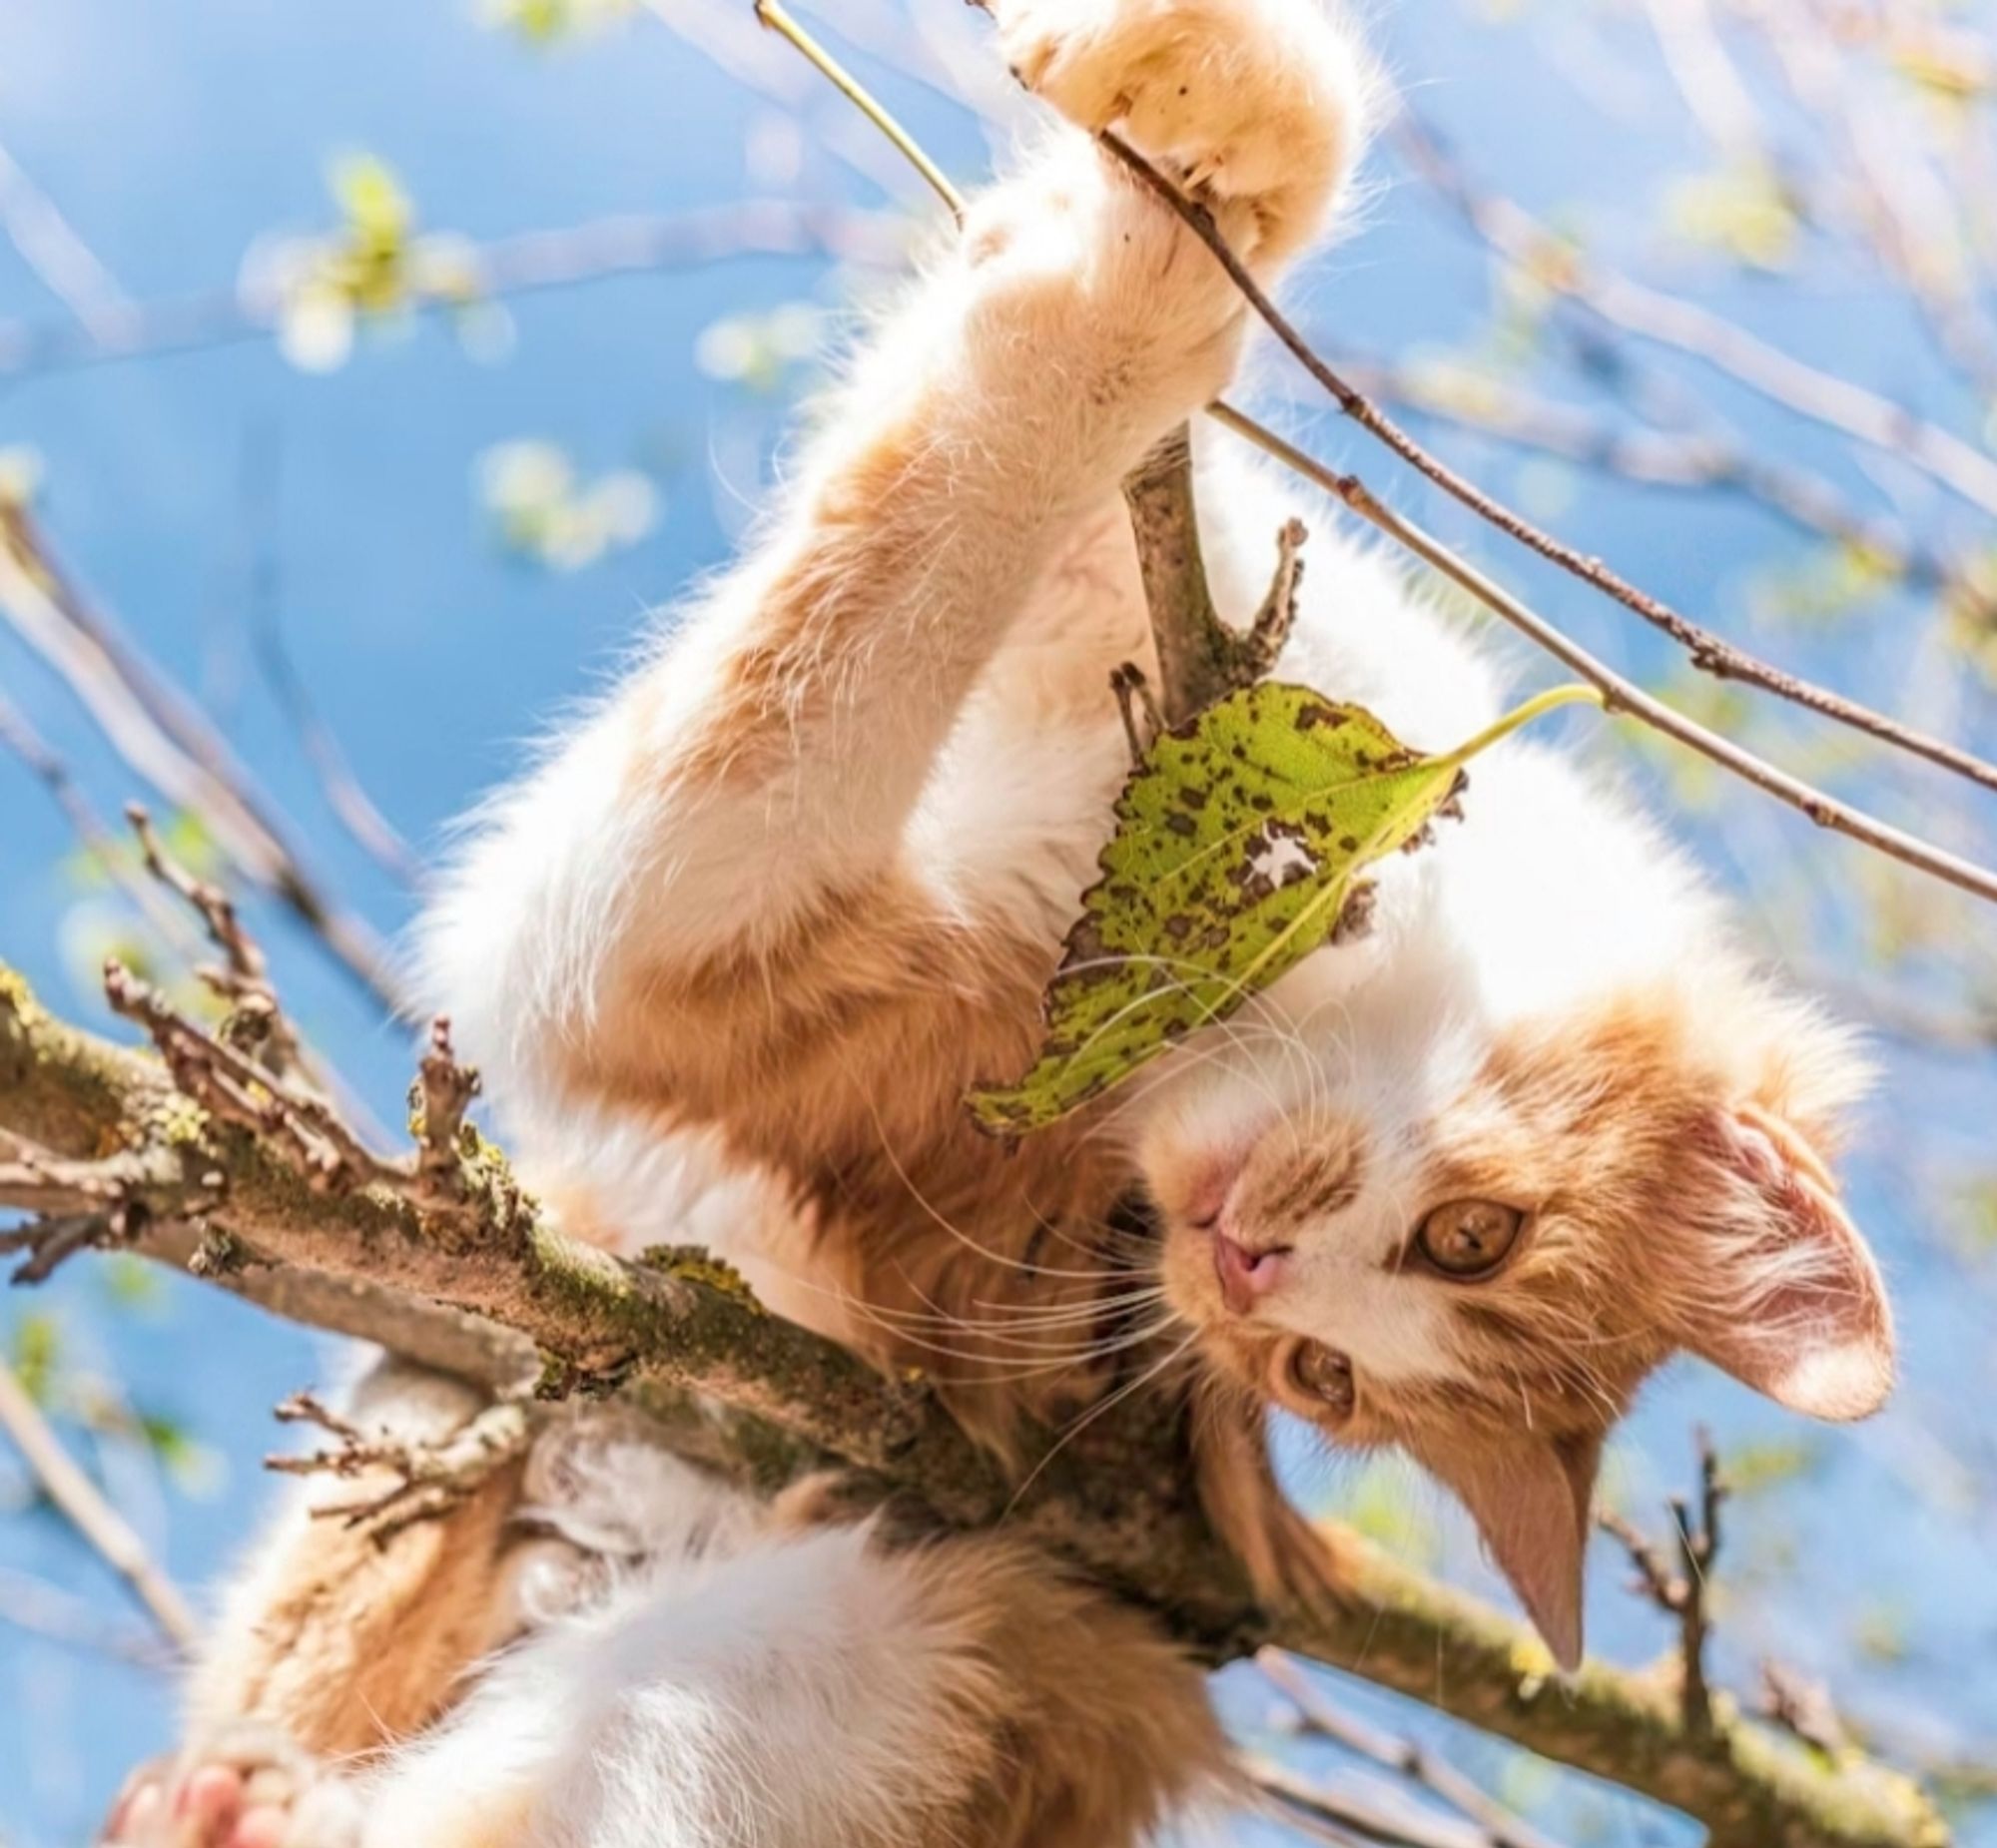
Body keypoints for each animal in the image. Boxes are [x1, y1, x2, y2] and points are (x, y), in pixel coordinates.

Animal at [105, 0, 1885, 1844]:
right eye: (1477, 1240)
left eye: (1322, 1381)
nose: (1247, 1273)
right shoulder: (1221, 616)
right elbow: (1151, 424)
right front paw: (1199, 125)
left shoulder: (695, 952)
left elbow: (905, 549)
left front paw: (1112, 296)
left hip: (868, 1648)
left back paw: (251, 1803)